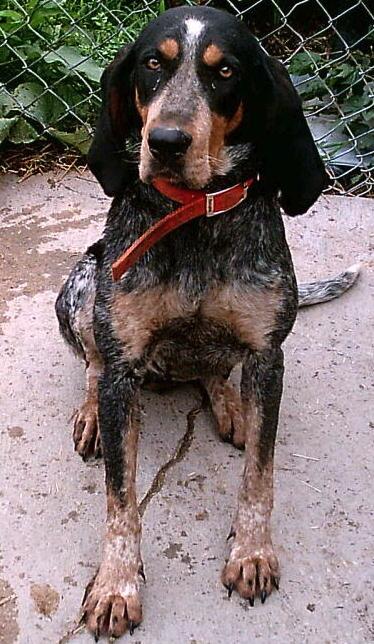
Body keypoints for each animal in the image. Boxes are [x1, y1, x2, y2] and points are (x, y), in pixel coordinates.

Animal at [55, 6, 360, 640]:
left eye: (225, 73)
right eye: (152, 64)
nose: (166, 142)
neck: (196, 216)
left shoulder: (269, 355)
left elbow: (260, 475)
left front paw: (252, 553)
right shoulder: (123, 362)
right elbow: (120, 499)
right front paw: (116, 584)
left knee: (218, 372)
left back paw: (231, 406)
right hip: (83, 281)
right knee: (93, 360)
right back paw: (92, 411)